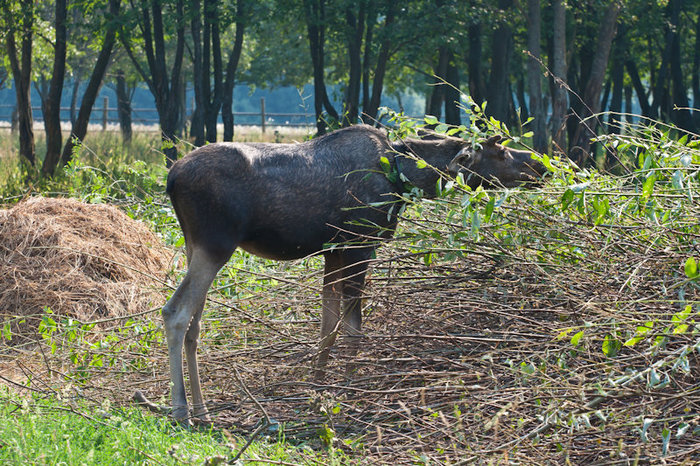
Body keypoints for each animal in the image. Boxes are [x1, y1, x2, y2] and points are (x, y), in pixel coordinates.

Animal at [153, 124, 548, 426]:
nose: (541, 167)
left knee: (196, 324)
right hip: (215, 245)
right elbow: (354, 328)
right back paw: (181, 410)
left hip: (195, 246)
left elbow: (327, 327)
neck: (405, 178)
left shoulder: (334, 250)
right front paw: (347, 390)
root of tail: (171, 178)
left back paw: (203, 411)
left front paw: (317, 391)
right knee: (176, 313)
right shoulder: (360, 244)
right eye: (501, 151)